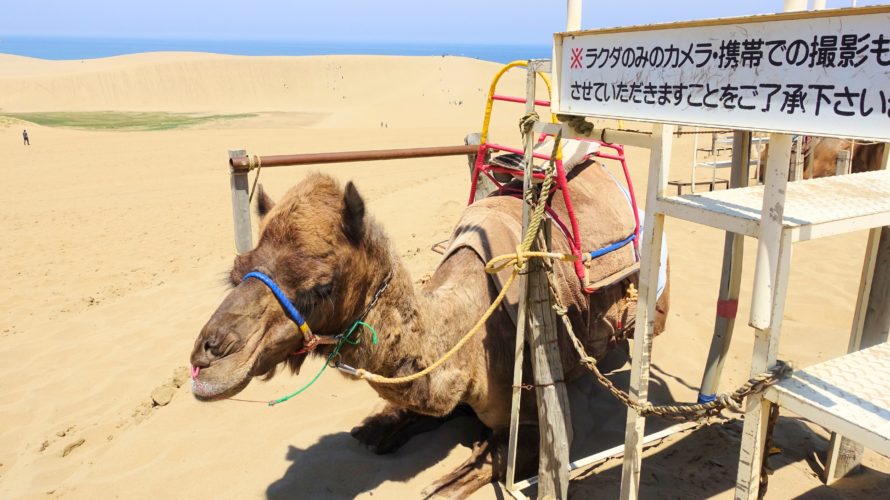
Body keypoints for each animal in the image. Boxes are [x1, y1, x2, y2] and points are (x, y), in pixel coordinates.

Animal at [191, 160, 668, 496]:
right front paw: (380, 428)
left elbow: (476, 467)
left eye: (320, 286)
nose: (205, 359)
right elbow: (384, 427)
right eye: (237, 272)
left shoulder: (539, 412)